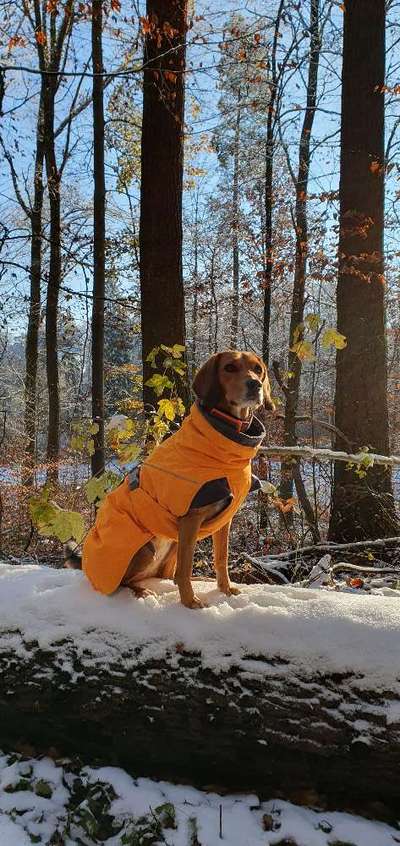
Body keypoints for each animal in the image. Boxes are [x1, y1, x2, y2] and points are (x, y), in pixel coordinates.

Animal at [65, 352, 274, 608]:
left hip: (173, 541)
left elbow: (221, 559)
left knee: (165, 575)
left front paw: (225, 589)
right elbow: (184, 568)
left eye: (258, 369)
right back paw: (142, 591)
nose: (254, 384)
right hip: (147, 548)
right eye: (230, 367)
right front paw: (190, 602)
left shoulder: (224, 521)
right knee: (127, 581)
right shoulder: (191, 518)